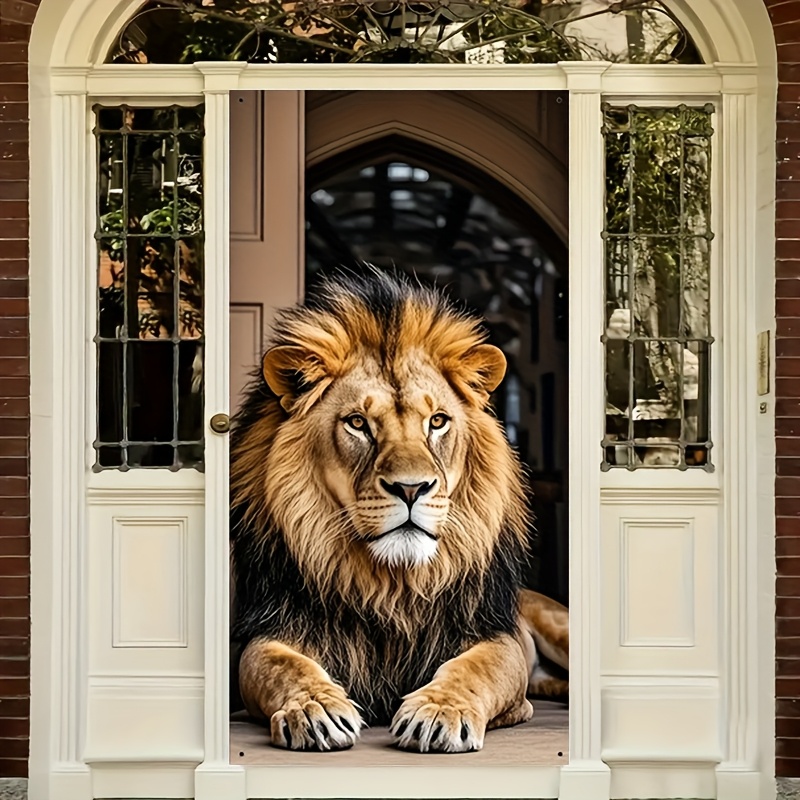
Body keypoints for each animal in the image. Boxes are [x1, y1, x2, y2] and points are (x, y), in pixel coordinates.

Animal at [230, 268, 568, 754]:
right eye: (357, 423)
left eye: (438, 421)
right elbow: (280, 666)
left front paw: (439, 712)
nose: (411, 488)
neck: (393, 587)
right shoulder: (268, 632)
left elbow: (473, 668)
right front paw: (315, 708)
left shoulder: (496, 639)